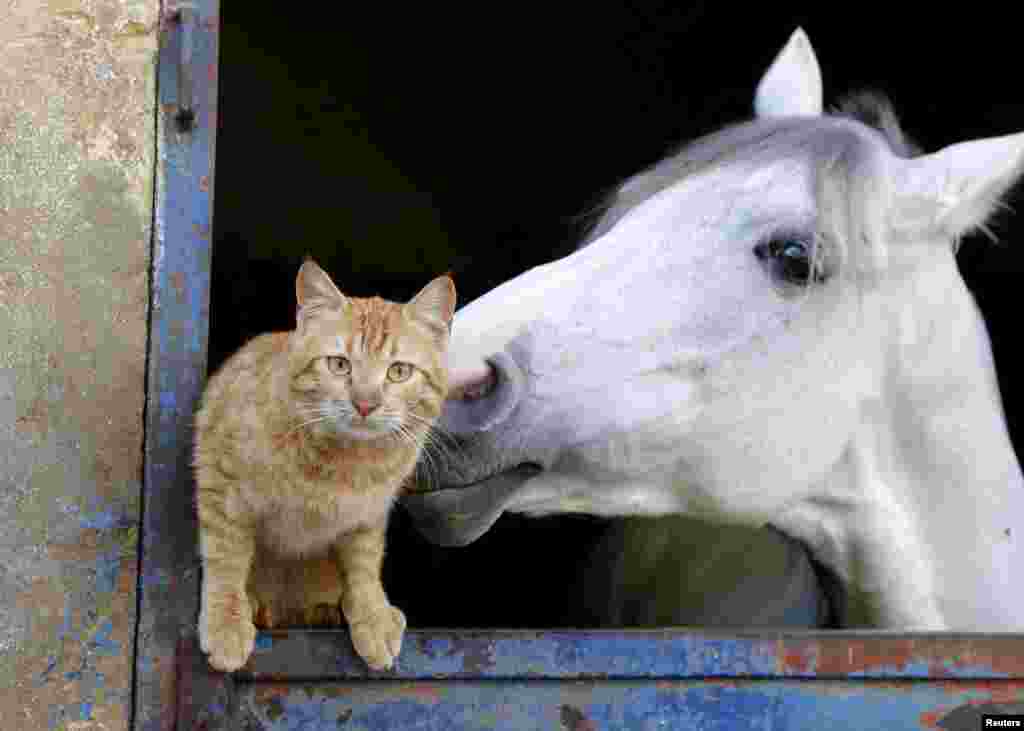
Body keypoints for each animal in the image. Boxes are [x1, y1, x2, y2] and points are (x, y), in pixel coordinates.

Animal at [192, 259, 456, 667]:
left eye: (399, 371)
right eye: (339, 365)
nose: (366, 403)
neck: (346, 461)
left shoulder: (368, 515)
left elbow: (364, 563)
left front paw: (371, 614)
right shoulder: (220, 481)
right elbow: (226, 556)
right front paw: (226, 619)